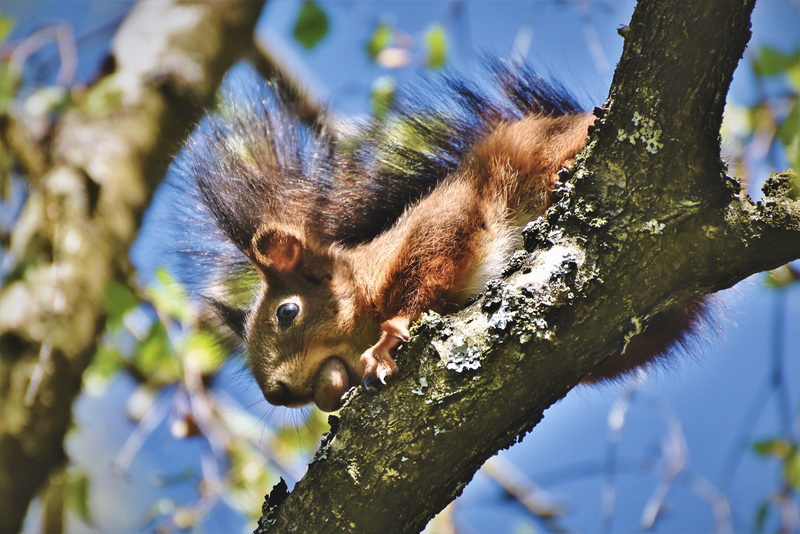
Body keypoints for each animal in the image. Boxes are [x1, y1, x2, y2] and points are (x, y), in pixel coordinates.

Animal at [174, 62, 705, 412]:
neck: (367, 277)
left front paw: (388, 340)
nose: (276, 395)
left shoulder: (441, 222)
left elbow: (430, 270)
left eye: (287, 313)